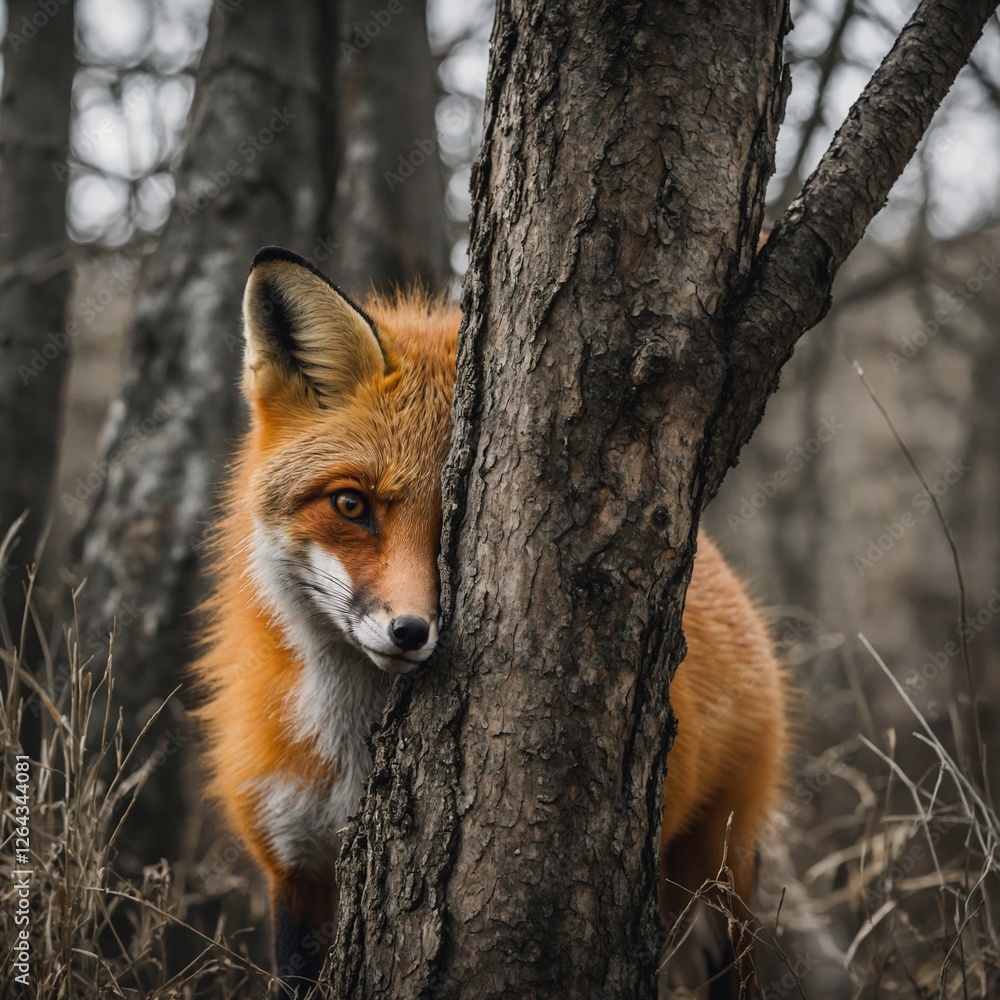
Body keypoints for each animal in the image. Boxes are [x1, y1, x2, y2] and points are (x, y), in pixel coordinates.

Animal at [194, 245, 788, 998]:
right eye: (351, 505)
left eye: (456, 517)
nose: (410, 631)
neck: (353, 758)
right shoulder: (294, 868)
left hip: (717, 876)